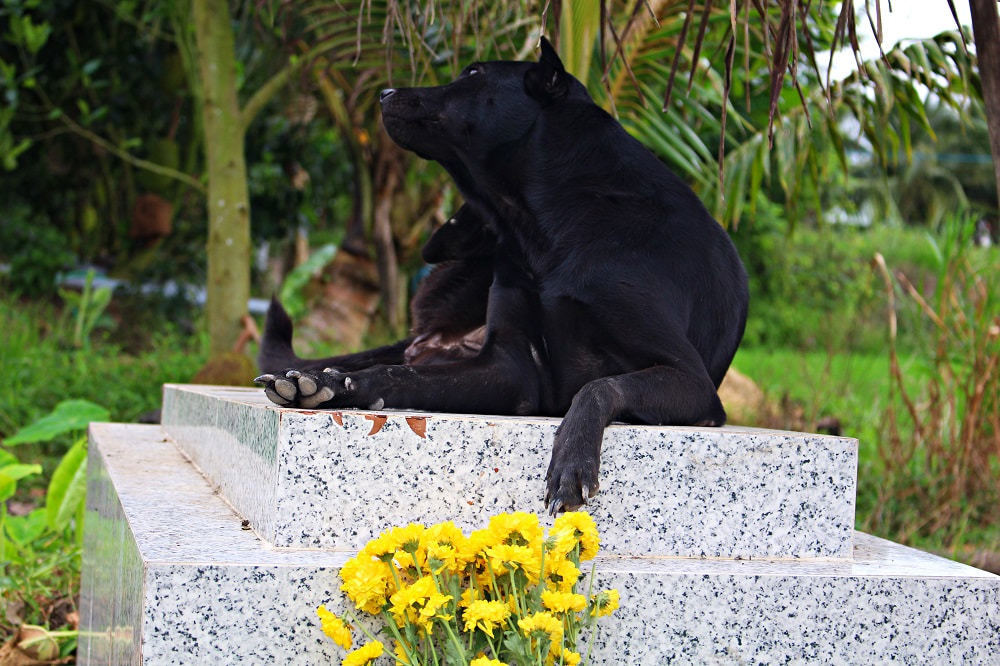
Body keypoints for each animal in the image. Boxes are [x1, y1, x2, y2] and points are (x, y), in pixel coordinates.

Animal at [254, 39, 748, 510]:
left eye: (474, 74)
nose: (385, 93)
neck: (545, 226)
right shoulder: (507, 369)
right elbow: (398, 375)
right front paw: (335, 385)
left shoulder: (692, 381)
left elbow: (597, 387)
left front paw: (573, 459)